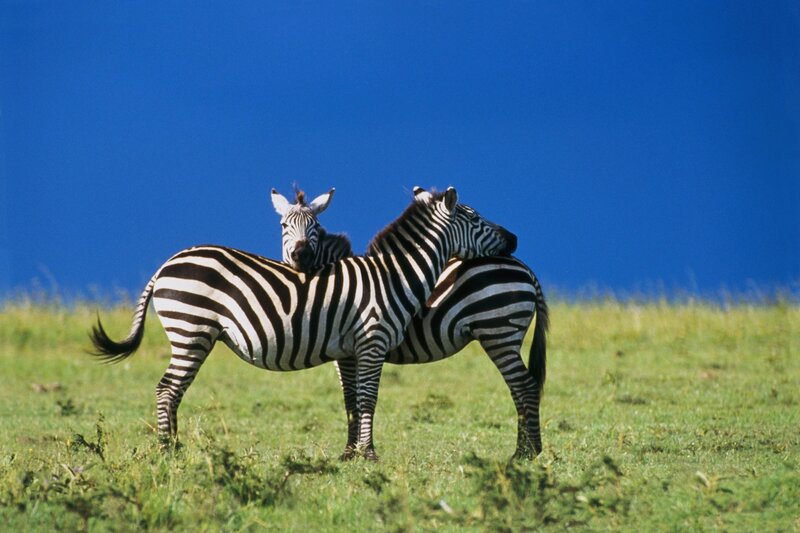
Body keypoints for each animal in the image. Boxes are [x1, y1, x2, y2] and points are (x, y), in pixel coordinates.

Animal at [90, 187, 517, 460]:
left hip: (194, 334)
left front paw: (353, 454)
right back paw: (167, 451)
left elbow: (353, 399)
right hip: (191, 329)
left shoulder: (350, 347)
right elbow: (368, 398)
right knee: (166, 389)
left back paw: (175, 447)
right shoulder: (372, 340)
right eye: (476, 217)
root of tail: (167, 263)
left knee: (173, 391)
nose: (514, 239)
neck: (391, 276)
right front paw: (369, 454)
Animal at [271, 188, 549, 458]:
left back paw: (525, 453)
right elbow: (352, 397)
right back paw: (525, 449)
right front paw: (352, 451)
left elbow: (355, 397)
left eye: (315, 227)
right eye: (283, 226)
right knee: (519, 388)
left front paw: (354, 451)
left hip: (498, 331)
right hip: (505, 336)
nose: (301, 256)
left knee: (524, 386)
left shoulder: (350, 351)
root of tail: (525, 267)